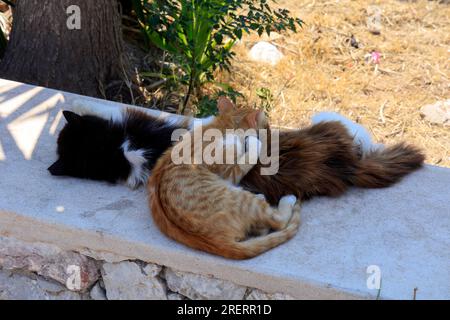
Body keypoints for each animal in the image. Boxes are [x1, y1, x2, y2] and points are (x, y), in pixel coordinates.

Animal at [149, 98, 302, 260]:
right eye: (267, 127)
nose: (271, 132)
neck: (223, 125)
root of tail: (217, 242)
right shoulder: (228, 173)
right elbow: (248, 156)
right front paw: (254, 142)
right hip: (244, 199)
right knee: (278, 222)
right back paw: (286, 199)